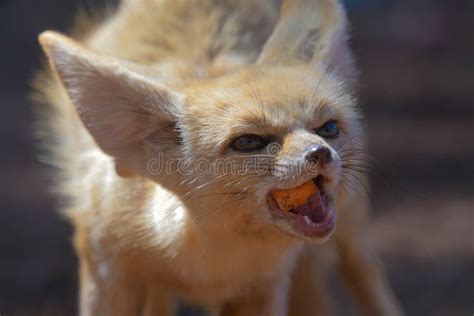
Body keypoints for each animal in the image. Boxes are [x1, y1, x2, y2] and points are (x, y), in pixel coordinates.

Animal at [35, 0, 404, 314]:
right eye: (249, 141)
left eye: (328, 128)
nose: (320, 153)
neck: (205, 265)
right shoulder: (105, 266)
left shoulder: (264, 288)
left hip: (351, 229)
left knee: (364, 275)